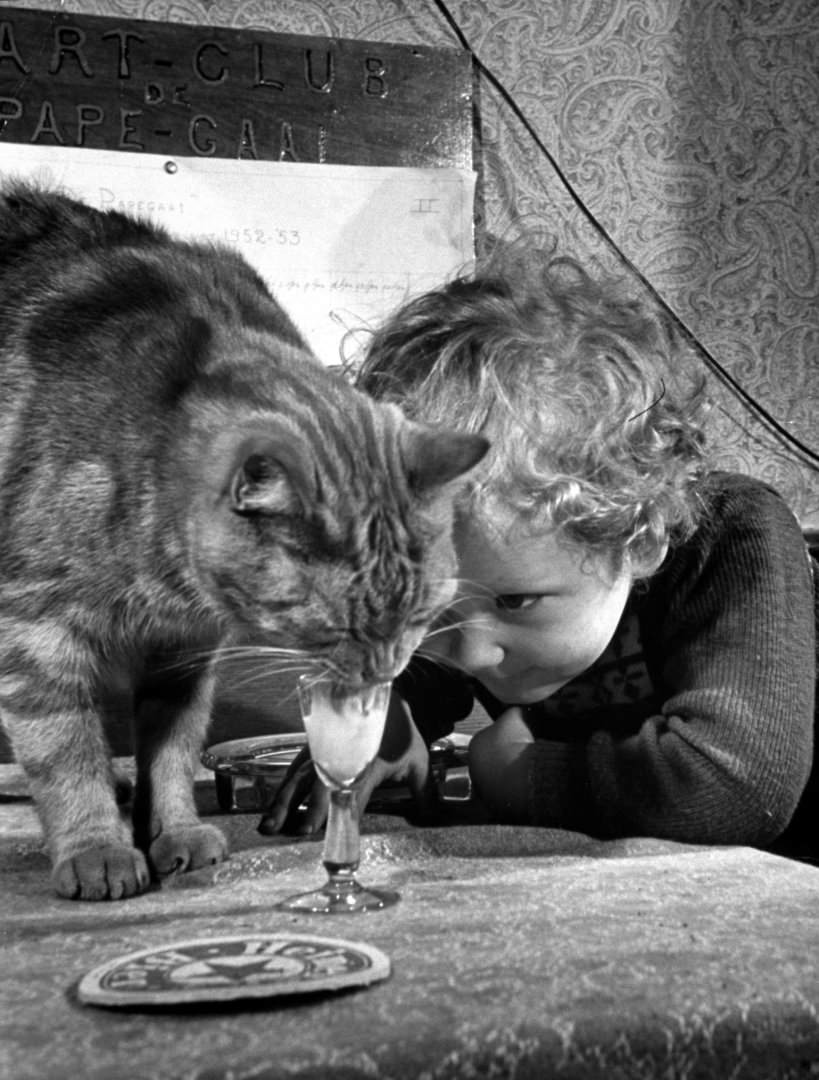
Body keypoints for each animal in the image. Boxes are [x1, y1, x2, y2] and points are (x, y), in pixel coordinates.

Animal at [0, 185, 488, 902]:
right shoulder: (37, 633)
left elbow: (171, 754)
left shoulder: (183, 655)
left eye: (421, 613)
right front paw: (97, 848)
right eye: (337, 622)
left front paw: (171, 830)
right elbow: (67, 752)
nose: (382, 675)